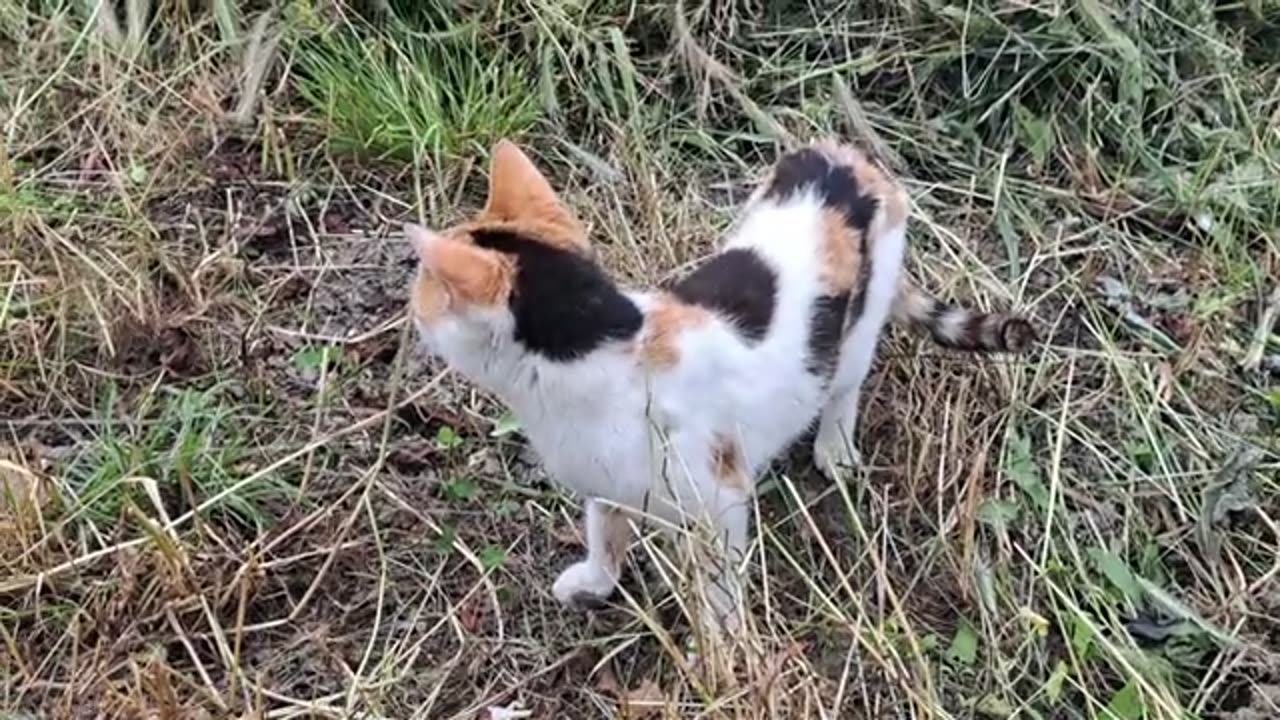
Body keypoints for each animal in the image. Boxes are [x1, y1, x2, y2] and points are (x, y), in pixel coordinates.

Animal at [404, 137, 1034, 630]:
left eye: (426, 289)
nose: (412, 304)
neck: (608, 353)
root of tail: (849, 155)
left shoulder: (722, 499)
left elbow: (720, 584)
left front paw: (721, 641)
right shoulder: (604, 484)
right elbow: (604, 532)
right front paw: (595, 585)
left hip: (860, 323)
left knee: (844, 383)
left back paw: (835, 447)